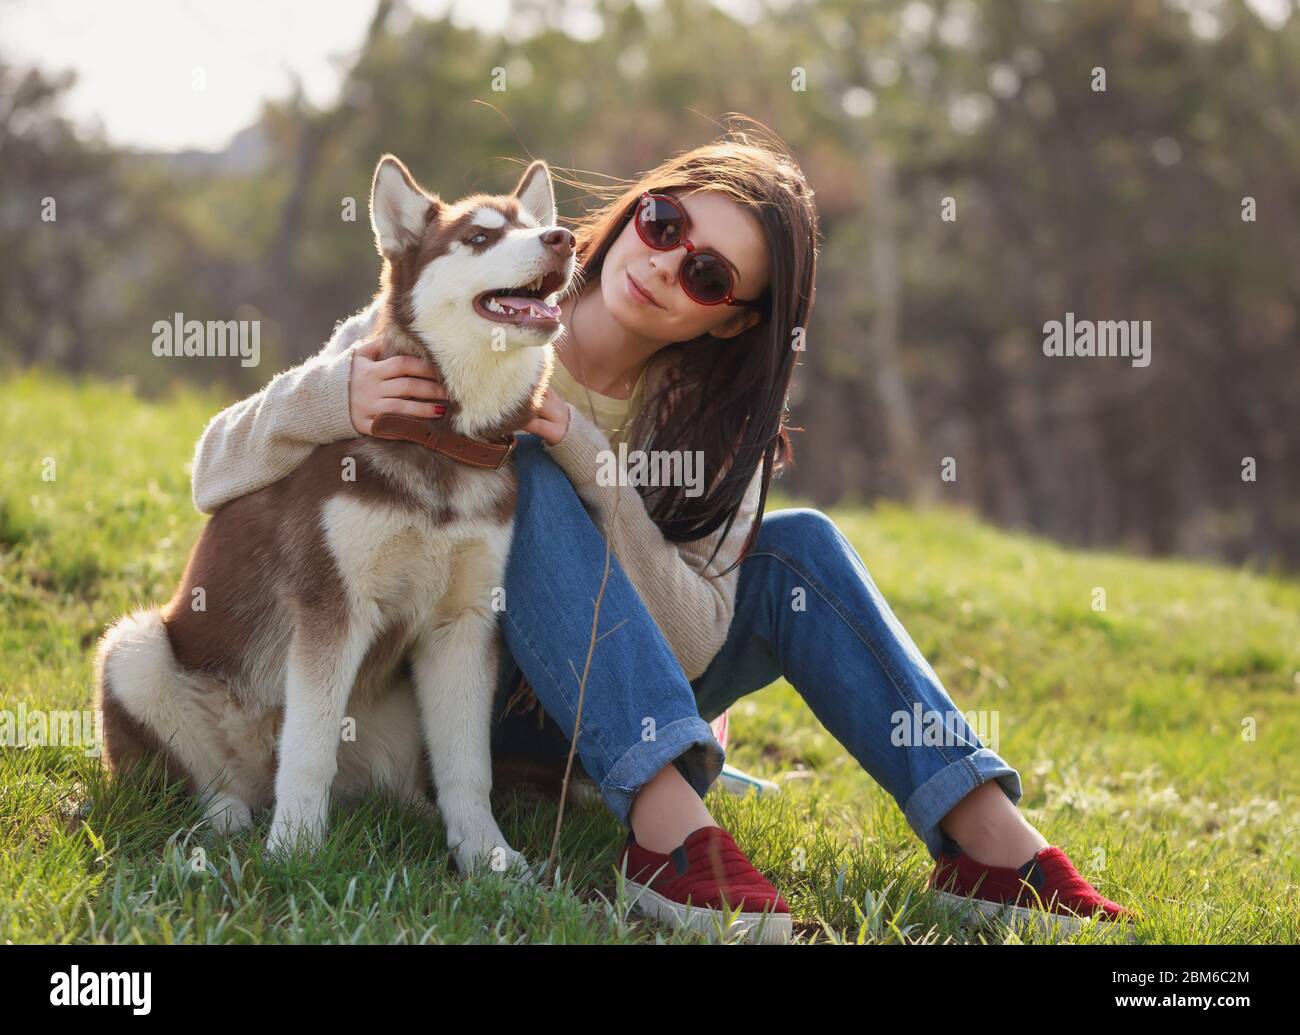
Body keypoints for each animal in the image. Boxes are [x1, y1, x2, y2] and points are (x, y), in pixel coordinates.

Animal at [94, 155, 577, 873]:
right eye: (480, 237)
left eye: (534, 224)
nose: (563, 239)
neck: (442, 441)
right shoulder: (332, 608)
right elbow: (309, 748)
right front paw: (293, 850)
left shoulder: (463, 623)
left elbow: (469, 767)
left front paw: (488, 856)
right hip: (136, 649)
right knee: (204, 780)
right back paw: (229, 817)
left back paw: (412, 813)